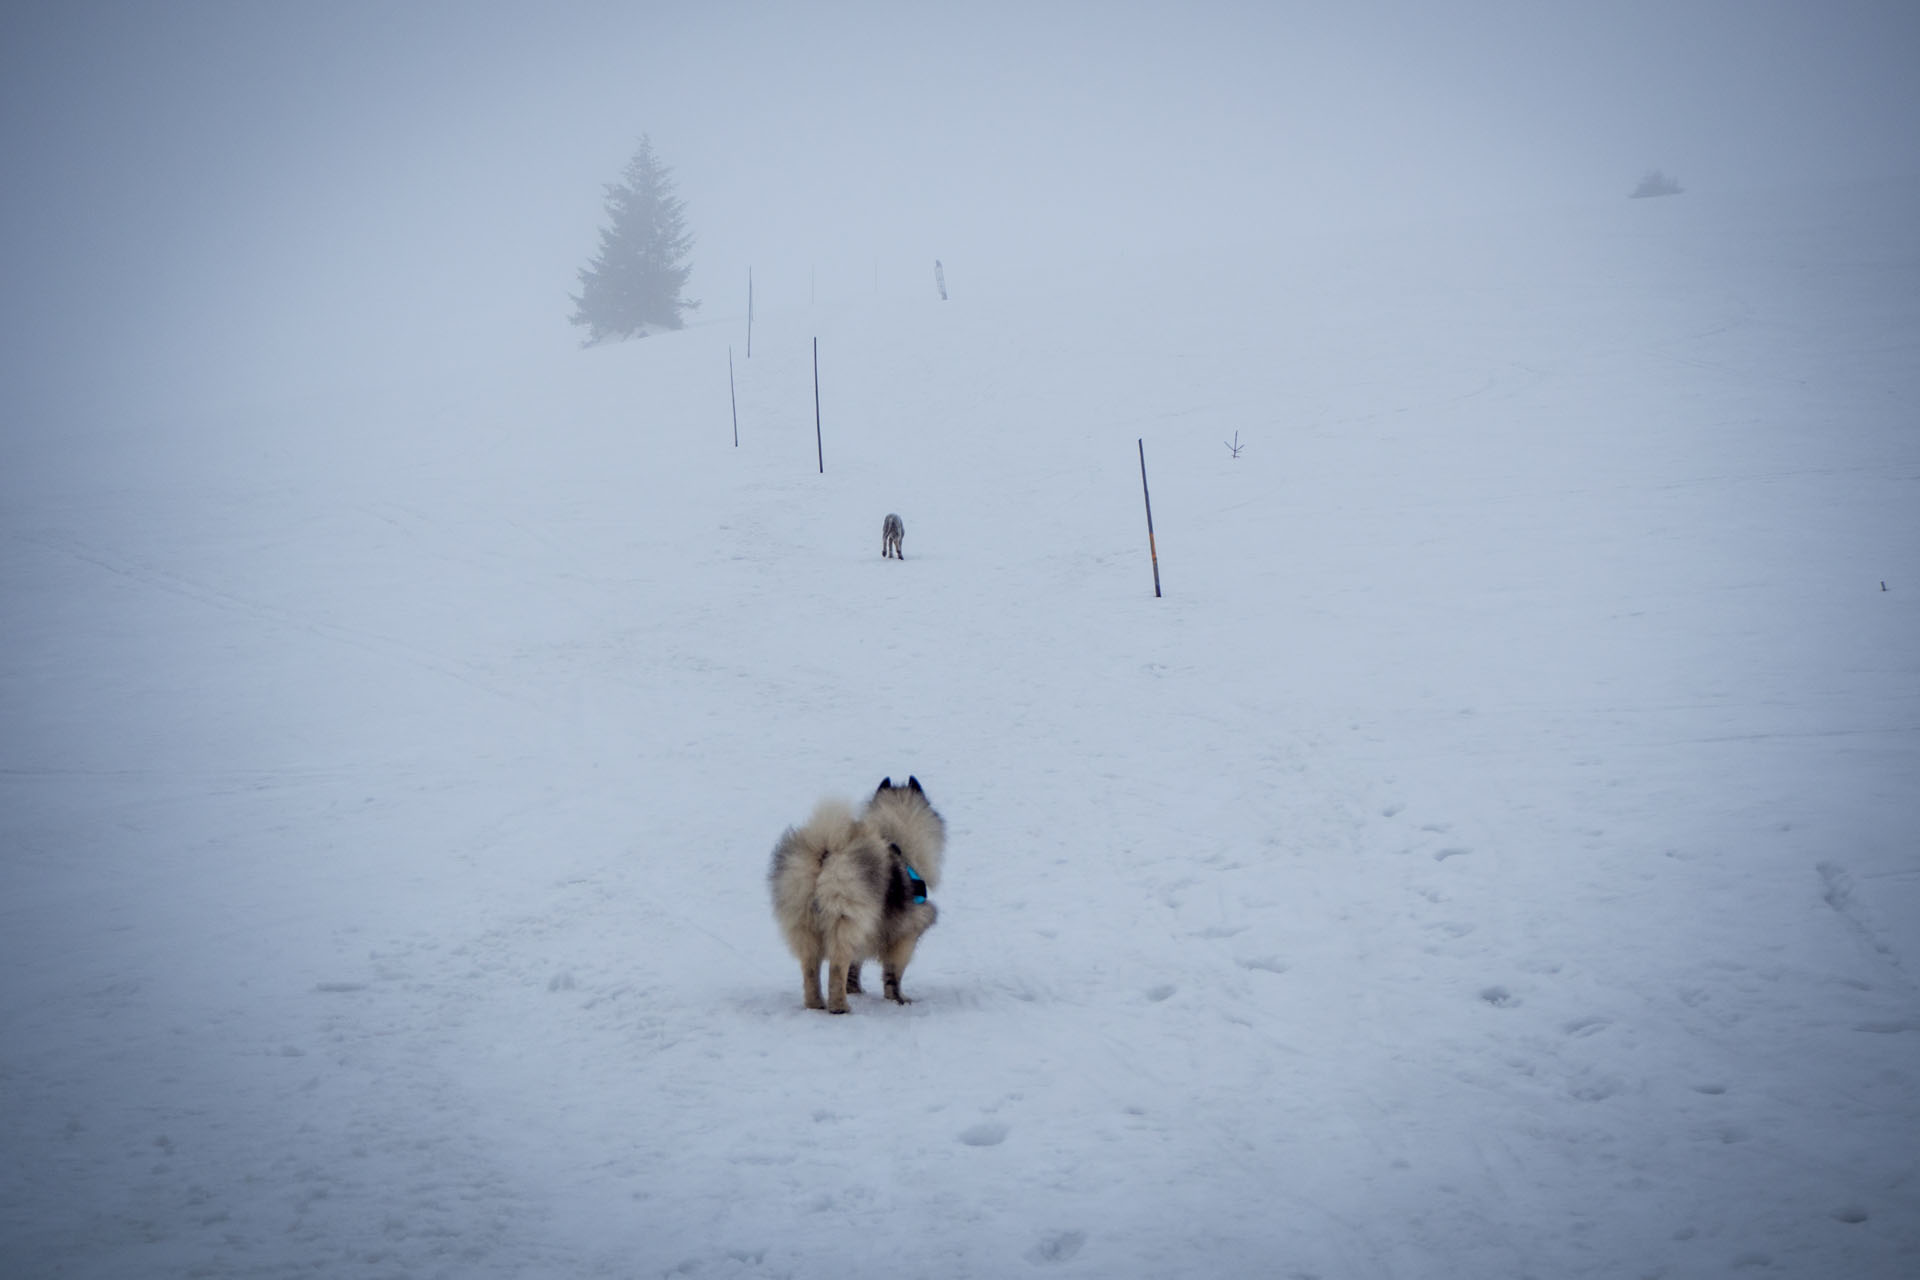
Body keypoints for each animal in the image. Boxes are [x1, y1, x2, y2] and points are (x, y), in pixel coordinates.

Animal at [764, 775, 944, 1013]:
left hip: (804, 920)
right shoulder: (906, 934)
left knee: (810, 967)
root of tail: (828, 852)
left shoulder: (867, 931)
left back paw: (816, 1004)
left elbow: (855, 966)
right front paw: (898, 999)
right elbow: (893, 972)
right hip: (844, 917)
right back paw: (840, 1007)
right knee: (836, 966)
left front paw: (856, 990)